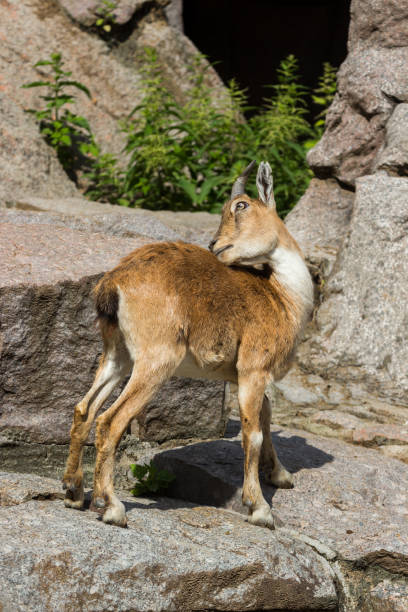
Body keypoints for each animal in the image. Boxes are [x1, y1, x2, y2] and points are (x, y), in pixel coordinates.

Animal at [63, 160, 312, 528]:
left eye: (241, 206)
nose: (215, 244)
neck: (282, 298)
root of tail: (114, 283)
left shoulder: (244, 374)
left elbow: (265, 416)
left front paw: (280, 475)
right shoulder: (253, 368)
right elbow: (251, 433)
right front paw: (260, 508)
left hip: (117, 355)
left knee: (85, 409)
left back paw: (73, 491)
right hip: (156, 359)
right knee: (110, 421)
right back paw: (110, 506)